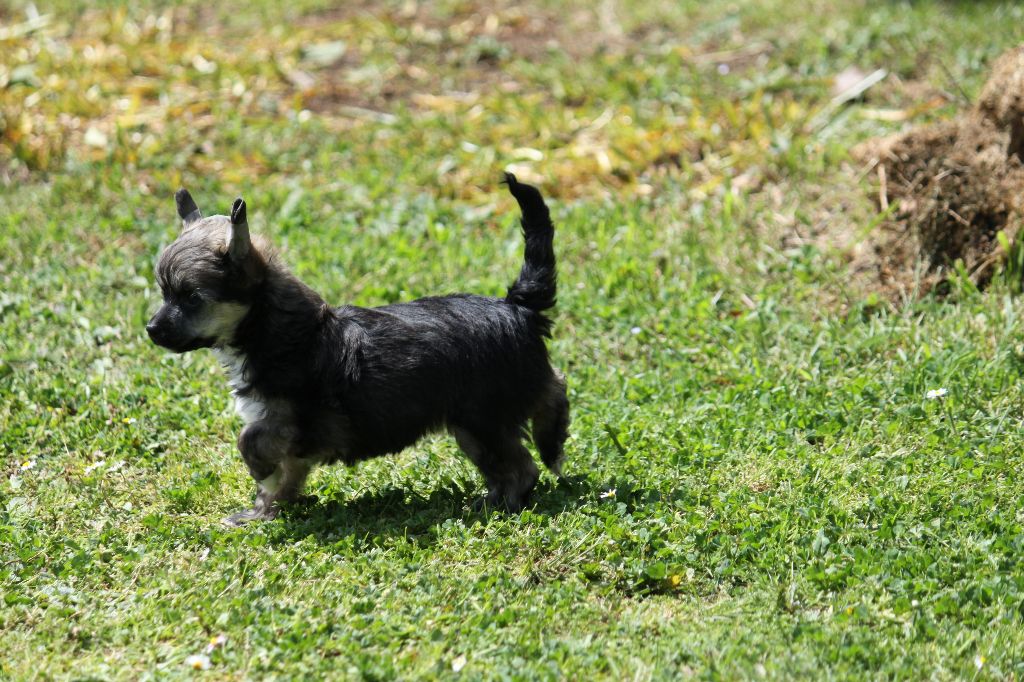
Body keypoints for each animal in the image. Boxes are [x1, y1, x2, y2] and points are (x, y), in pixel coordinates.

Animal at [148, 173, 573, 522]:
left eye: (191, 298)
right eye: (164, 293)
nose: (151, 329)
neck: (268, 328)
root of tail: (515, 306)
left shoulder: (293, 419)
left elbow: (249, 440)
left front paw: (261, 474)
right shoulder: (291, 437)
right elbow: (287, 475)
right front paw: (264, 510)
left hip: (483, 416)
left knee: (525, 458)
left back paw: (509, 495)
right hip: (477, 421)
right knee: (545, 401)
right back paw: (536, 458)